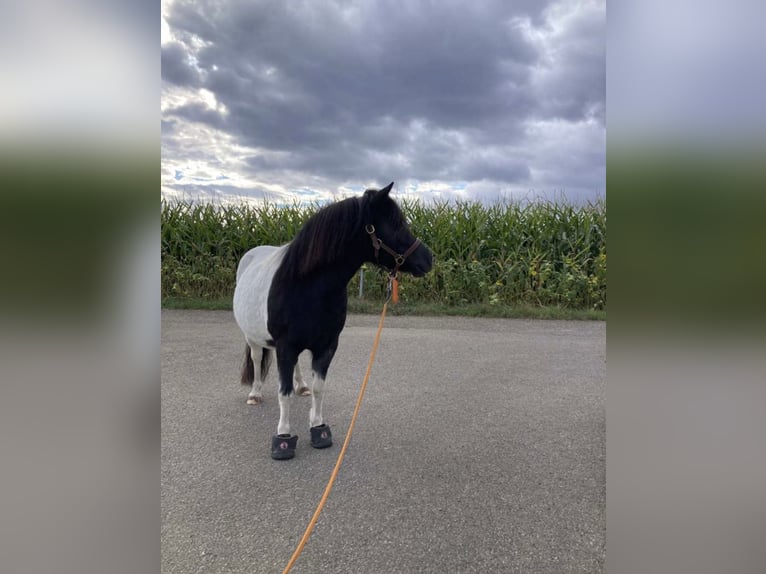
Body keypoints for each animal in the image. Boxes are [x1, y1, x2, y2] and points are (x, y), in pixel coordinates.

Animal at [231, 182, 436, 462]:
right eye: (396, 223)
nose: (428, 259)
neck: (306, 287)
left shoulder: (326, 346)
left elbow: (319, 388)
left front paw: (318, 428)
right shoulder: (286, 345)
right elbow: (284, 394)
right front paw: (283, 436)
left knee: (296, 370)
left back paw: (301, 387)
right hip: (252, 337)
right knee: (255, 357)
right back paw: (255, 394)